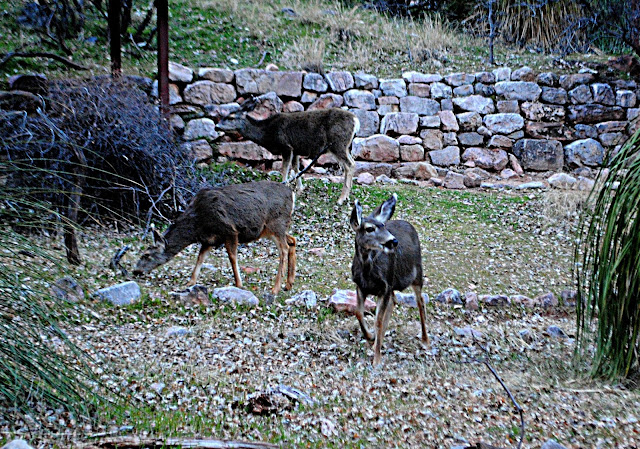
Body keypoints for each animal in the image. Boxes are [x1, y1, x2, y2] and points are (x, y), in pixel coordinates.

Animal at [134, 180, 298, 296]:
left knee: (284, 248)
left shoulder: (229, 230)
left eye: (146, 254)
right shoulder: (209, 239)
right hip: (271, 229)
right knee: (292, 241)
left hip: (276, 223)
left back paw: (275, 288)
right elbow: (200, 258)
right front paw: (190, 282)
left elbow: (232, 257)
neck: (197, 223)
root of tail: (292, 193)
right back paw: (288, 284)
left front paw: (239, 284)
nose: (136, 270)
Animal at [218, 99, 360, 206]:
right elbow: (296, 168)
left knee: (350, 164)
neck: (267, 132)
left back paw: (341, 199)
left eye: (231, 117)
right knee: (352, 163)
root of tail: (355, 120)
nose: (217, 126)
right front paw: (300, 189)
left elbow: (284, 169)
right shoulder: (295, 149)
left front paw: (283, 186)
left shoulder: (285, 146)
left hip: (338, 143)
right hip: (345, 146)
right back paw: (346, 197)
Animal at [350, 192, 430, 364]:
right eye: (369, 228)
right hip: (394, 283)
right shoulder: (360, 286)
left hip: (417, 273)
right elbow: (359, 313)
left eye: (383, 226)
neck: (368, 273)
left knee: (420, 302)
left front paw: (377, 360)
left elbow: (378, 321)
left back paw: (425, 340)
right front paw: (370, 337)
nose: (393, 241)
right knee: (394, 301)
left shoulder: (385, 286)